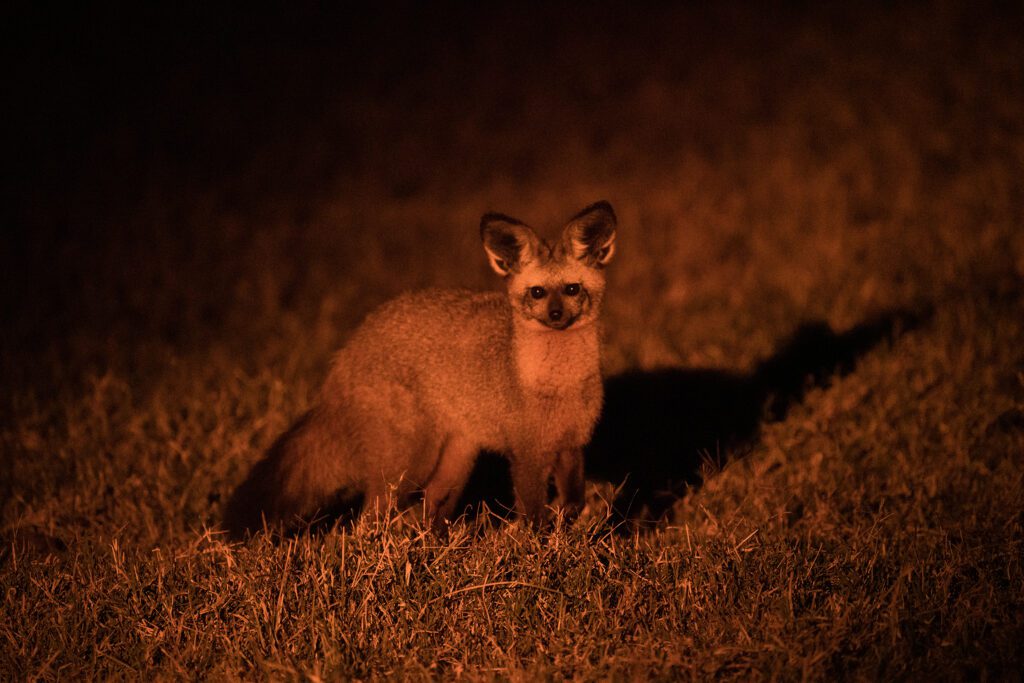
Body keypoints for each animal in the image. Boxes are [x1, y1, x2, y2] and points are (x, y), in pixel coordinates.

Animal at [224, 201, 617, 537]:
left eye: (572, 289)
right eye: (537, 292)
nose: (556, 315)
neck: (559, 385)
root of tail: (347, 352)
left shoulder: (572, 445)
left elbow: (573, 504)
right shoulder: (526, 454)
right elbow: (535, 517)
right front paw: (537, 551)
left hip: (455, 458)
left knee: (431, 505)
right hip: (408, 465)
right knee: (368, 519)